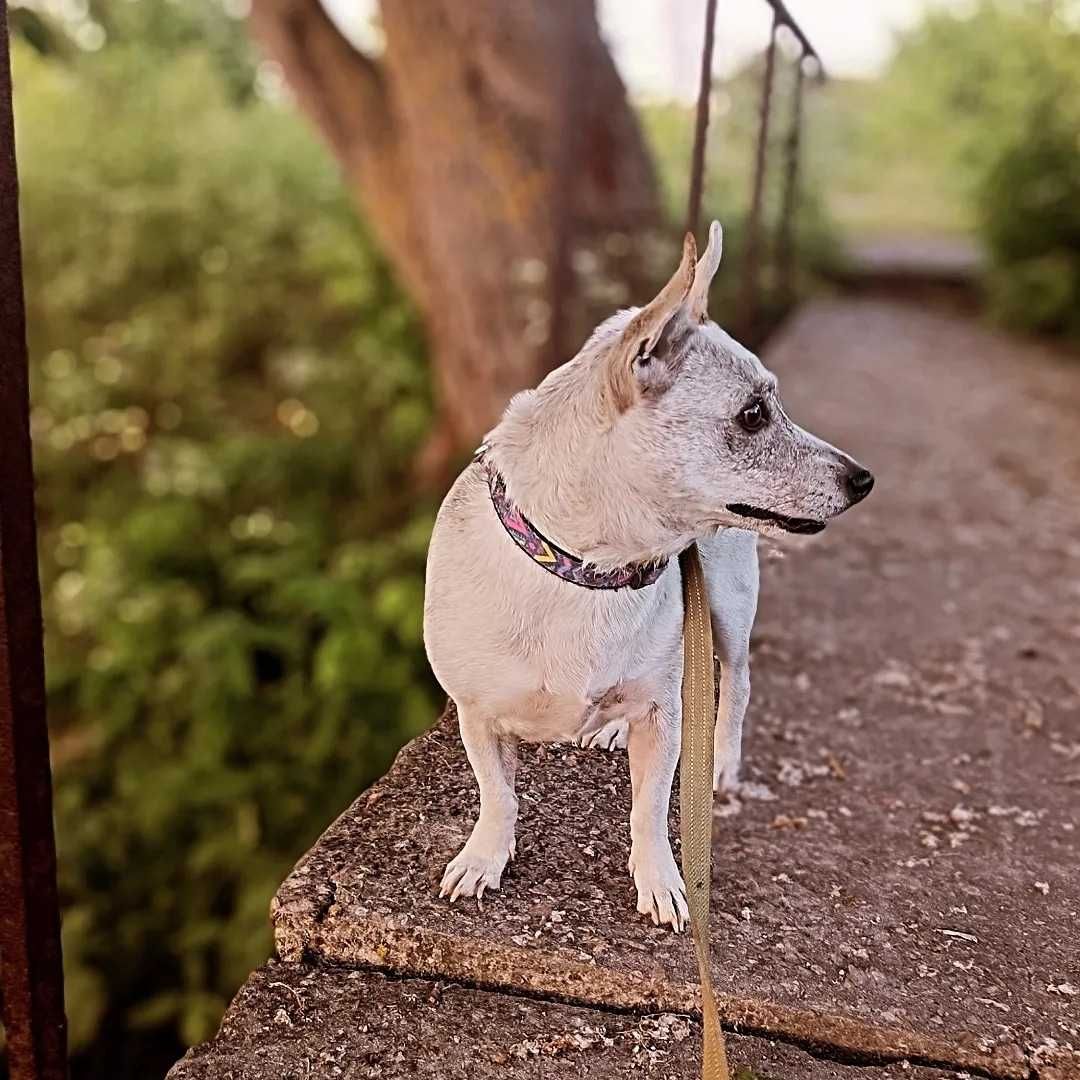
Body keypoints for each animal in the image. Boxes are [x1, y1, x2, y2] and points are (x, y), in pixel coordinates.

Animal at [421, 223, 868, 933]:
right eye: (753, 415)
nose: (864, 479)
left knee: (738, 683)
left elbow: (652, 807)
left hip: (727, 613)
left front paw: (659, 879)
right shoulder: (477, 714)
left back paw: (722, 762)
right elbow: (497, 795)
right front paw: (485, 856)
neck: (589, 573)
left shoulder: (664, 717)